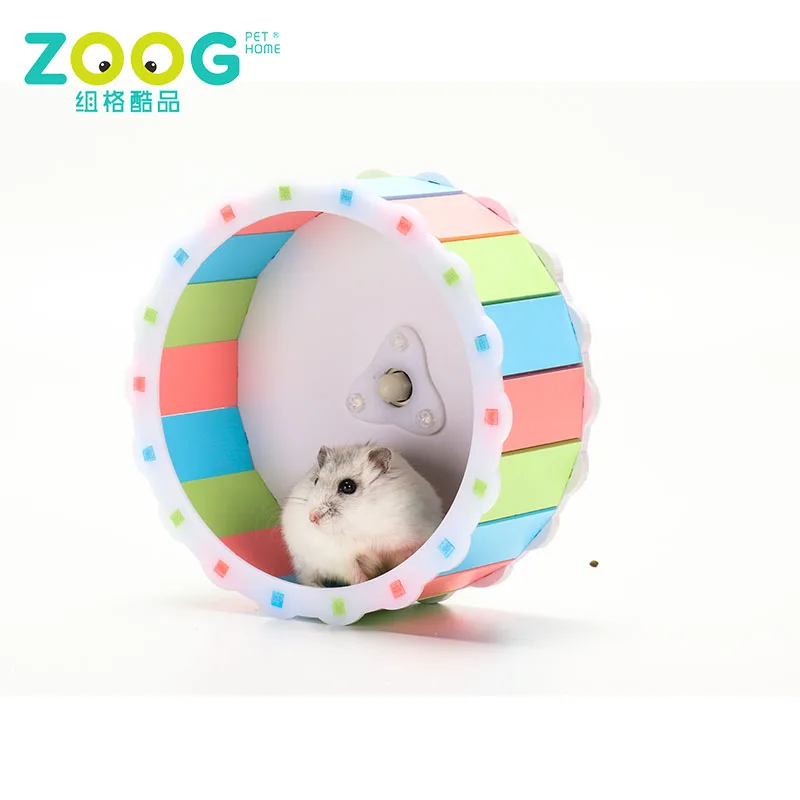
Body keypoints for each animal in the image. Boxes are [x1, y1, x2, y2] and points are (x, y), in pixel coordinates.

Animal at [281, 444, 444, 588]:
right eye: (316, 481)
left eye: (348, 486)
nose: (312, 518)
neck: (361, 523)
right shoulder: (341, 558)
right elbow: (354, 573)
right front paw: (365, 584)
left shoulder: (410, 540)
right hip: (304, 561)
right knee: (307, 579)